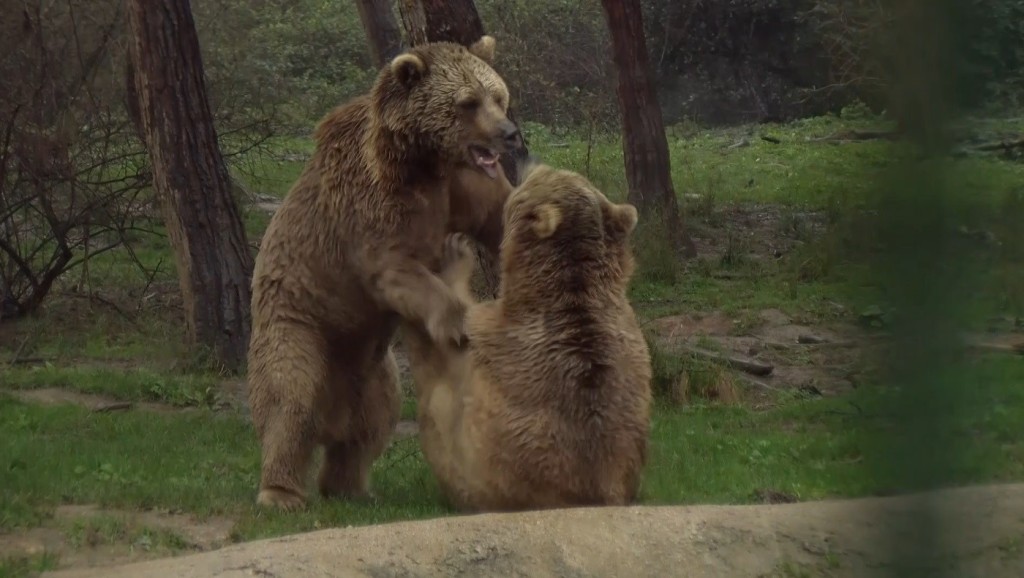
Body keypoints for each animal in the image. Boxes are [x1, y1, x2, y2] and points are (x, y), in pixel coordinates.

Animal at [244, 36, 520, 510]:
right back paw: (281, 493)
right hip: (299, 326)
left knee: (371, 424)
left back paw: (352, 487)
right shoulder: (372, 207)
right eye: (468, 102)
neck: (425, 162)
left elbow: (499, 214)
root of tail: (331, 414)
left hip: (373, 371)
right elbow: (394, 270)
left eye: (498, 96)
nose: (508, 133)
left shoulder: (464, 186)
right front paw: (456, 322)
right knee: (289, 399)